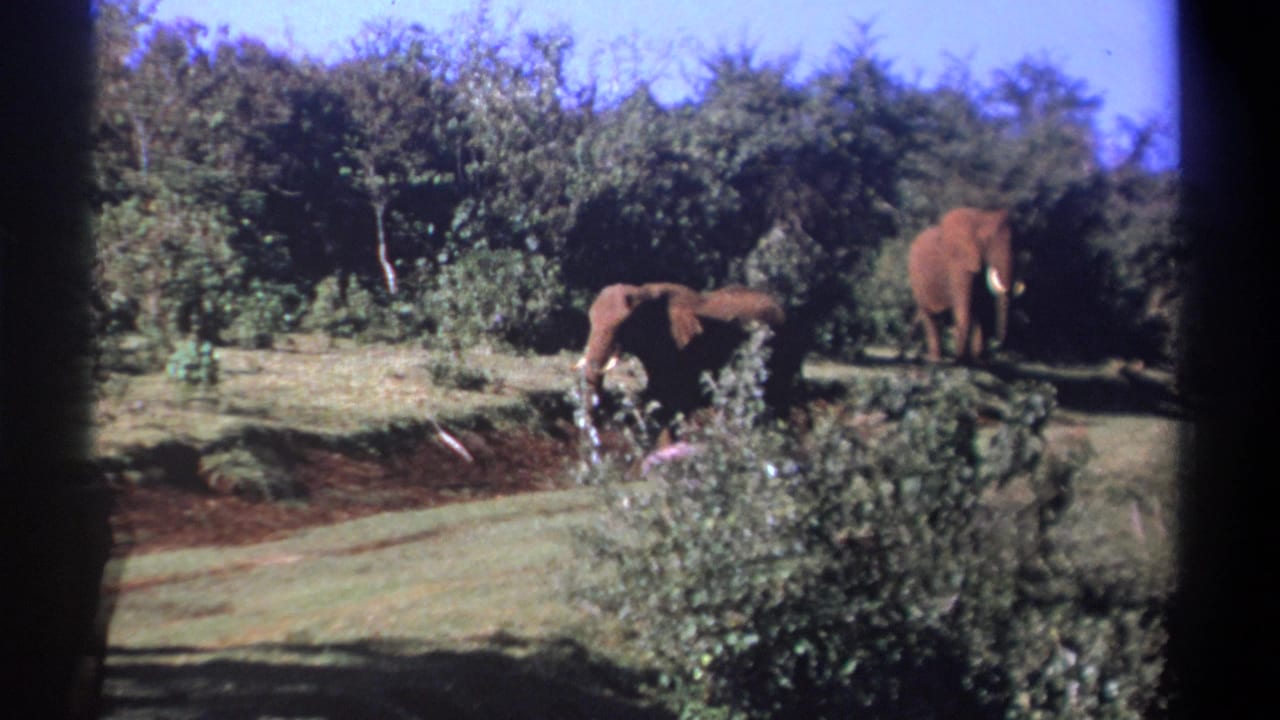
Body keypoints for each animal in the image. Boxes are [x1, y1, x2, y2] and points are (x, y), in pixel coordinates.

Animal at [574, 282, 803, 438]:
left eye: (624, 326)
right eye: (590, 320)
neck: (644, 292)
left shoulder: (682, 349)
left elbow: (677, 401)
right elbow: (658, 396)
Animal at [908, 207, 1024, 363]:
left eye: (1018, 245)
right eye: (987, 240)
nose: (1000, 344)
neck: (982, 218)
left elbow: (980, 309)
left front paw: (978, 360)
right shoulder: (959, 263)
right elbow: (965, 308)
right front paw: (961, 359)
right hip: (917, 281)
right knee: (930, 317)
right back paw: (936, 359)